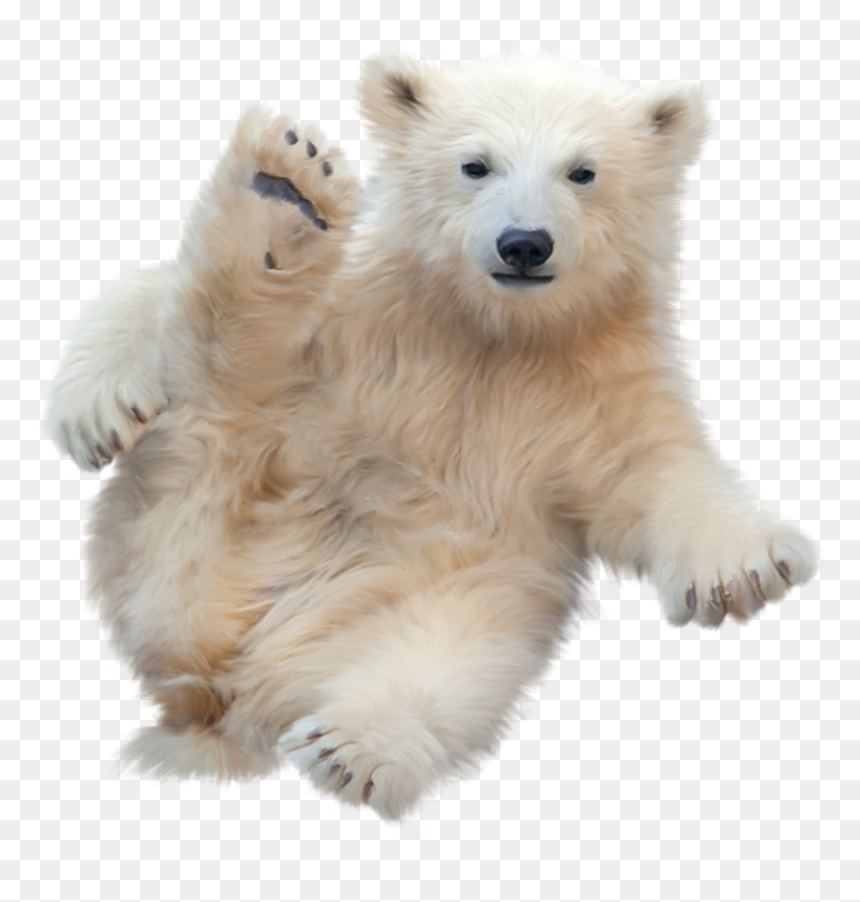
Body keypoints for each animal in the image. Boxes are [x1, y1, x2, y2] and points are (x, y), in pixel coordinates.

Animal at [46, 56, 817, 819]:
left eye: (583, 171)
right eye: (475, 164)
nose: (524, 243)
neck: (489, 332)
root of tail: (227, 681)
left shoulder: (588, 387)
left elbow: (655, 468)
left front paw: (741, 568)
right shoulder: (365, 315)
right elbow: (152, 292)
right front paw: (99, 405)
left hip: (436, 598)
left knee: (436, 668)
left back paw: (350, 748)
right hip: (192, 525)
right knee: (225, 393)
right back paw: (283, 195)